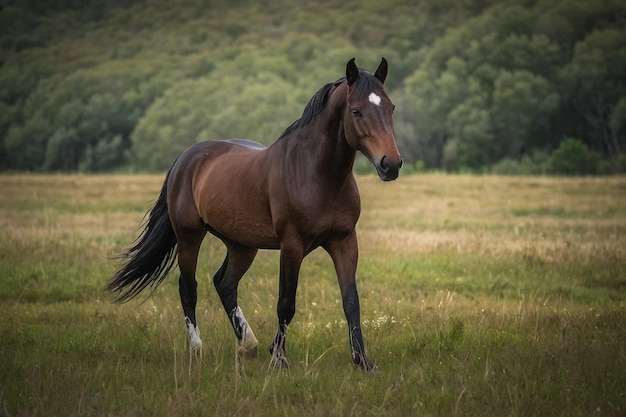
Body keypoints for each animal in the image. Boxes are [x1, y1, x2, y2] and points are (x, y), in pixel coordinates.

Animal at [106, 57, 400, 368]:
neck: (317, 174)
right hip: (189, 237)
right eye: (356, 111)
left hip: (241, 245)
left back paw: (248, 344)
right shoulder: (292, 245)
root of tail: (184, 159)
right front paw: (279, 359)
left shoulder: (344, 241)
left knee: (224, 284)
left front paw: (363, 362)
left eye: (390, 107)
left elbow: (351, 301)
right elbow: (286, 303)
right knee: (188, 288)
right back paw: (197, 349)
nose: (391, 164)